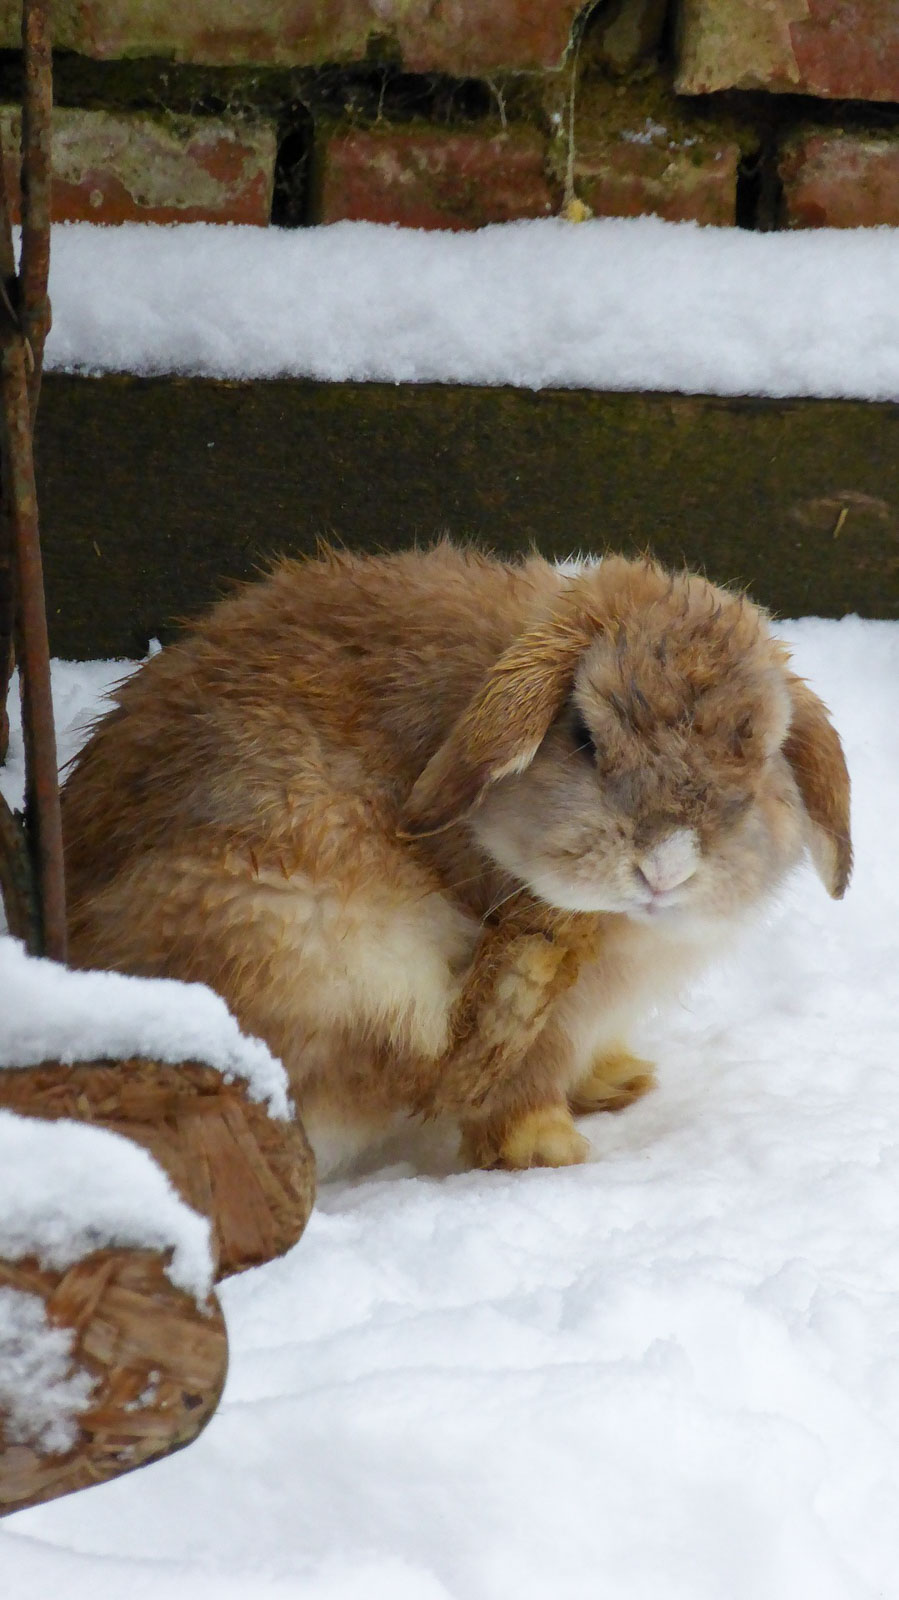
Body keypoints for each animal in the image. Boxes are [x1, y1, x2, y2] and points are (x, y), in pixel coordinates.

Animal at [61, 550, 844, 1177]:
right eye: (584, 738)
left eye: (760, 756)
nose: (664, 868)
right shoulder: (549, 1020)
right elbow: (514, 1086)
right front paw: (549, 1151)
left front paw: (617, 1081)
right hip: (314, 942)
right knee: (436, 1065)